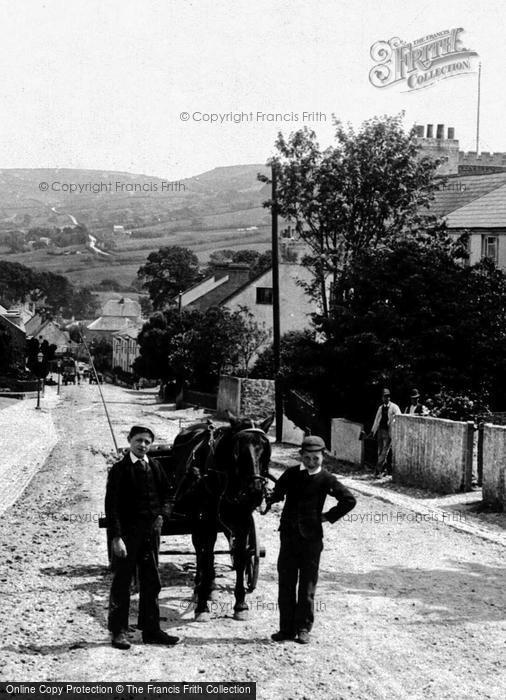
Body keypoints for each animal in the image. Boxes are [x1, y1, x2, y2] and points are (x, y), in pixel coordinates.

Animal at [169, 412, 272, 620]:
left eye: (265, 449)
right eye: (238, 451)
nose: (255, 491)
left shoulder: (242, 522)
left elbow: (240, 557)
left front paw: (240, 604)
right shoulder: (206, 522)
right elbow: (207, 556)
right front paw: (201, 605)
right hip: (197, 519)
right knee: (201, 552)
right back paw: (200, 586)